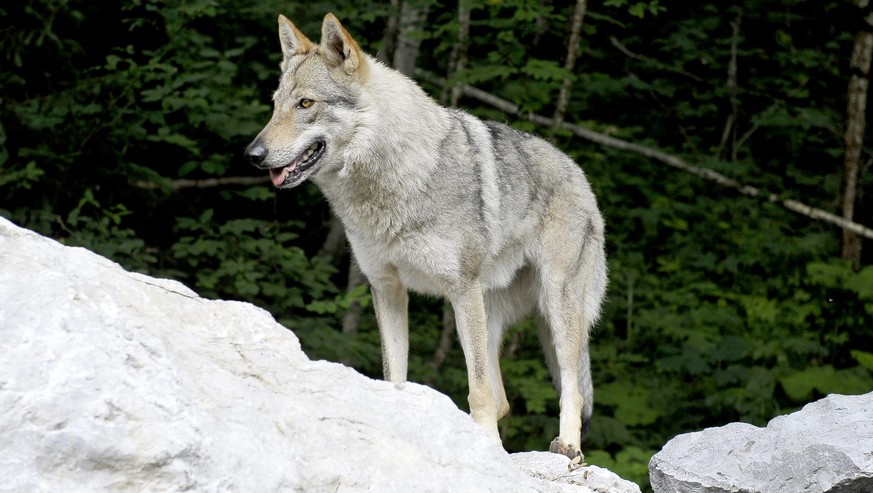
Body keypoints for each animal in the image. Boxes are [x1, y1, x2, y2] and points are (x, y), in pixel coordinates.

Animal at [245, 12, 608, 458]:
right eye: (275, 105)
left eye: (306, 104)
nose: (253, 155)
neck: (394, 183)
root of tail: (578, 172)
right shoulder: (386, 289)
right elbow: (395, 377)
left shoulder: (461, 289)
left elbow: (477, 391)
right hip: (488, 312)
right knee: (504, 398)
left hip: (552, 307)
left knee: (569, 389)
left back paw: (567, 447)